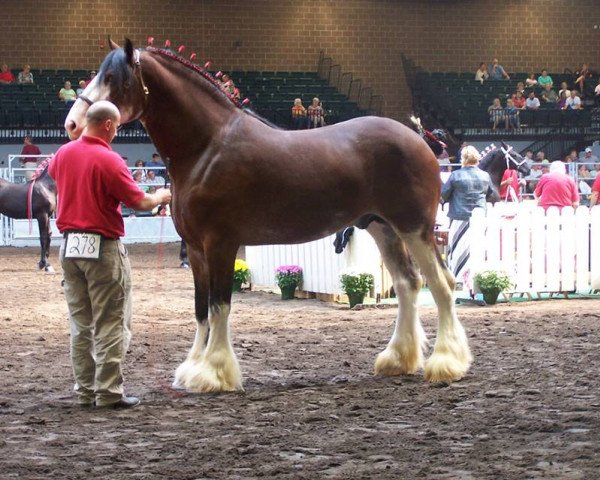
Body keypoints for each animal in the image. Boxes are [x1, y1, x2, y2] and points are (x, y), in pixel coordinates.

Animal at [63, 39, 472, 392]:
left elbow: (219, 305)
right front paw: (193, 368)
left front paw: (215, 372)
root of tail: (419, 139)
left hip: (414, 228)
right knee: (407, 284)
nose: (72, 124)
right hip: (383, 228)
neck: (208, 147)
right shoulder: (195, 249)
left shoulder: (221, 243)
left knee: (442, 284)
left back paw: (445, 363)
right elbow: (200, 308)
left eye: (112, 77)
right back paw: (398, 360)